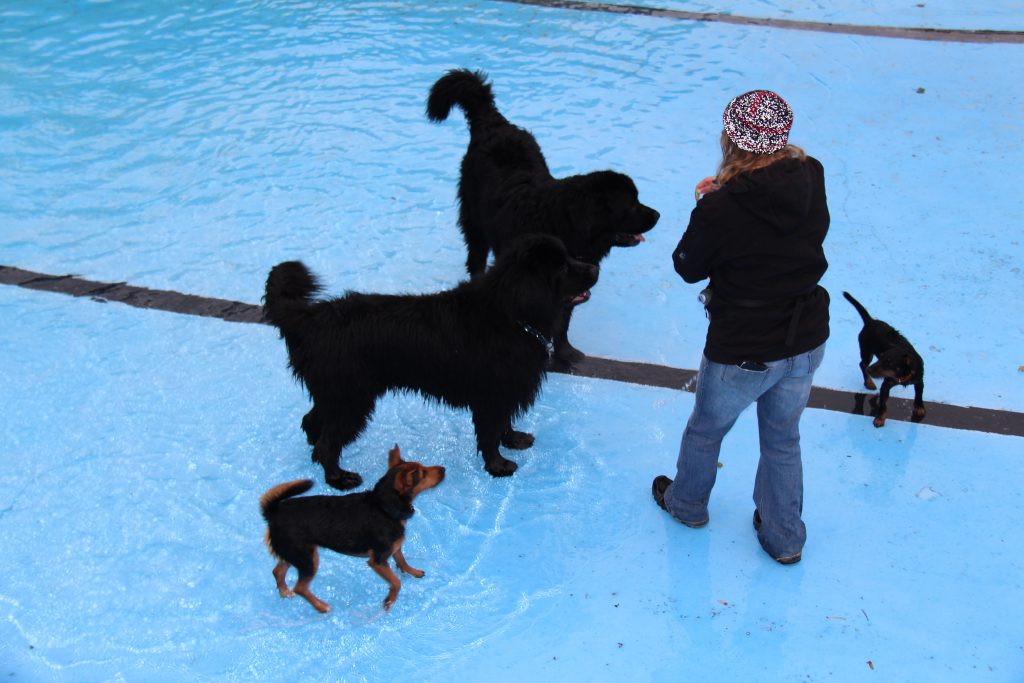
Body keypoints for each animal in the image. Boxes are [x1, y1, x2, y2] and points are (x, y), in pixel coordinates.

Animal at [260, 444, 444, 614]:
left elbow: (402, 560)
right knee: (300, 587)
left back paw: (284, 592)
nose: (443, 469)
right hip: (308, 559)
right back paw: (321, 607)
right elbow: (396, 581)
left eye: (424, 467)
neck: (382, 506)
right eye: (423, 474)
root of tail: (273, 512)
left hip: (295, 553)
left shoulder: (394, 547)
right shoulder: (377, 561)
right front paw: (390, 600)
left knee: (277, 571)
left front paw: (412, 571)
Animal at [264, 236, 598, 491]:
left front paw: (514, 439)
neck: (510, 313)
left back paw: (316, 458)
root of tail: (310, 319)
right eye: (563, 266)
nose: (595, 267)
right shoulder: (492, 396)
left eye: (569, 256)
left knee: (311, 422)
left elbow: (504, 424)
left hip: (337, 394)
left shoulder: (504, 391)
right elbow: (490, 434)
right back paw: (338, 478)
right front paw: (498, 466)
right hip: (351, 399)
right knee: (327, 441)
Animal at [425, 68, 659, 366]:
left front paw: (565, 352)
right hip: (474, 221)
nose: (658, 214)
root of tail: (493, 122)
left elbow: (562, 320)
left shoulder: (571, 277)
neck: (563, 224)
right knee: (475, 257)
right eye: (631, 205)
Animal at [843, 292, 925, 428]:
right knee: (862, 364)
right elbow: (883, 404)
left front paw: (919, 408)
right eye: (880, 358)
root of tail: (870, 321)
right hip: (867, 352)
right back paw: (869, 382)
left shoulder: (919, 380)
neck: (902, 375)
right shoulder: (886, 385)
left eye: (889, 363)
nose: (870, 370)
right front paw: (879, 419)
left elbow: (919, 395)